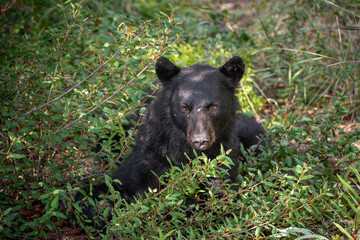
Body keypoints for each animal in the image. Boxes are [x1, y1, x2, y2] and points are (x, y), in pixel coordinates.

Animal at [75, 56, 264, 229]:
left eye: (214, 107)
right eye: (184, 108)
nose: (200, 141)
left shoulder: (223, 154)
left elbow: (220, 196)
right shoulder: (153, 151)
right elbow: (113, 188)